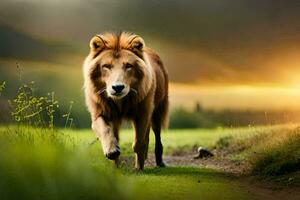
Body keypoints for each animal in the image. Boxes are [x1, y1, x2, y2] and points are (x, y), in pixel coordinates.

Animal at [82, 31, 169, 170]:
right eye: (106, 66)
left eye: (128, 66)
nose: (118, 87)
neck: (120, 101)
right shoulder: (100, 113)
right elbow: (106, 130)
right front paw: (112, 154)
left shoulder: (142, 113)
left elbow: (139, 143)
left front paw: (139, 168)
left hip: (158, 111)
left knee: (156, 135)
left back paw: (159, 162)